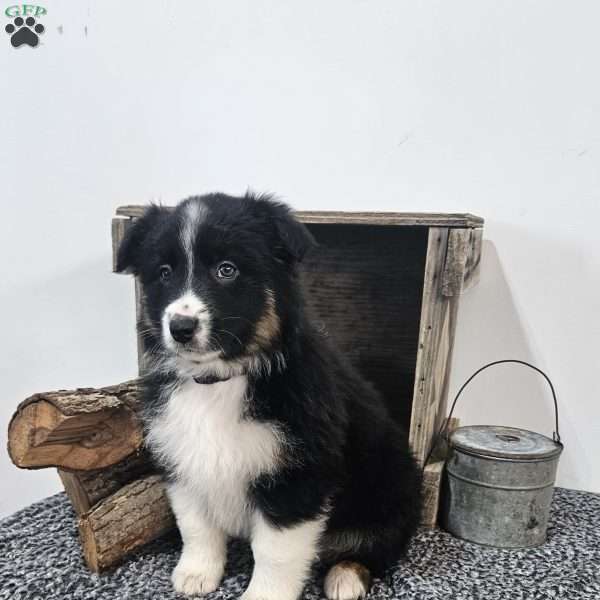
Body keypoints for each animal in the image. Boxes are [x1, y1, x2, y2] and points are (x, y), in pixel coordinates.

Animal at [116, 192, 422, 600]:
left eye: (227, 270)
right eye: (164, 273)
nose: (180, 327)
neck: (220, 380)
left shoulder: (296, 476)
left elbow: (275, 551)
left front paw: (263, 594)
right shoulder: (181, 456)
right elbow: (195, 525)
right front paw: (197, 573)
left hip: (389, 489)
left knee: (377, 545)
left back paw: (345, 577)